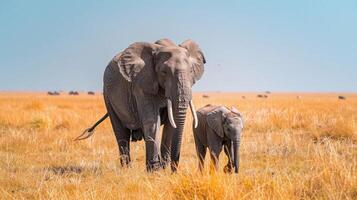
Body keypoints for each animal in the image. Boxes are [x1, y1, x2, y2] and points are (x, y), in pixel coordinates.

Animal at [76, 38, 203, 171]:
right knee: (120, 132)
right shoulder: (141, 84)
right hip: (107, 96)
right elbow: (152, 121)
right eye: (164, 72)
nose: (175, 170)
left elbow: (170, 125)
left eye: (191, 71)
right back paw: (127, 169)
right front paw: (155, 171)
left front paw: (163, 169)